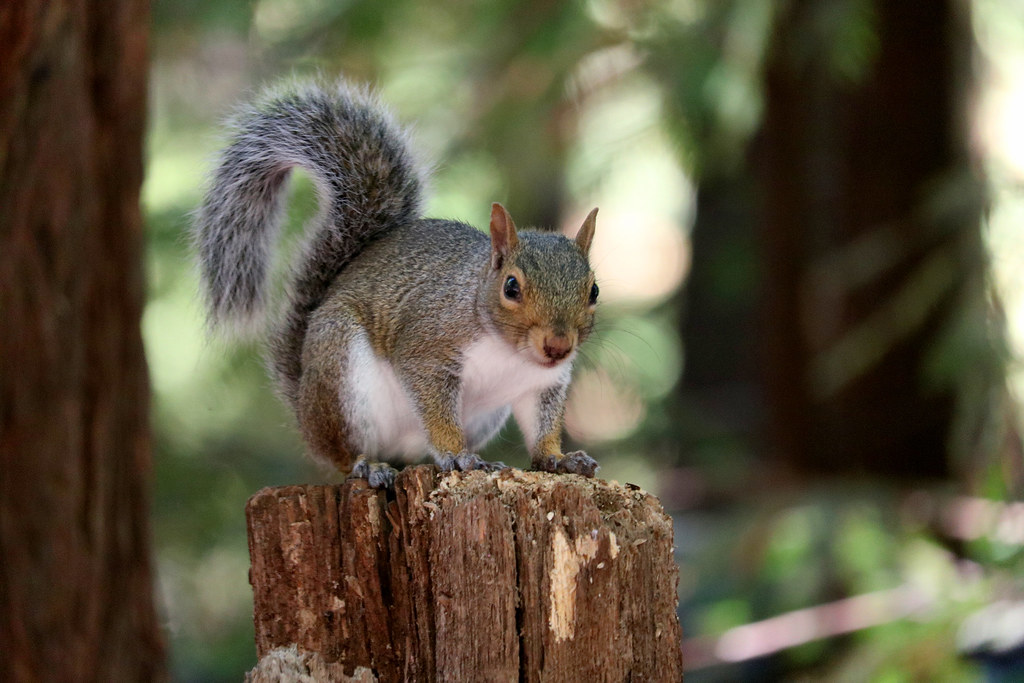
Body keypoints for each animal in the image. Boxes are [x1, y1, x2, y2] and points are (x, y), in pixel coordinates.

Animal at [193, 80, 600, 486]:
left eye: (593, 291)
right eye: (511, 287)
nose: (558, 346)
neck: (509, 351)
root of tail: (305, 409)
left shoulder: (543, 384)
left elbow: (542, 427)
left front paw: (559, 459)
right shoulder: (428, 348)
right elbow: (434, 406)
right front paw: (457, 455)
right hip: (341, 371)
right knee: (343, 453)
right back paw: (367, 464)